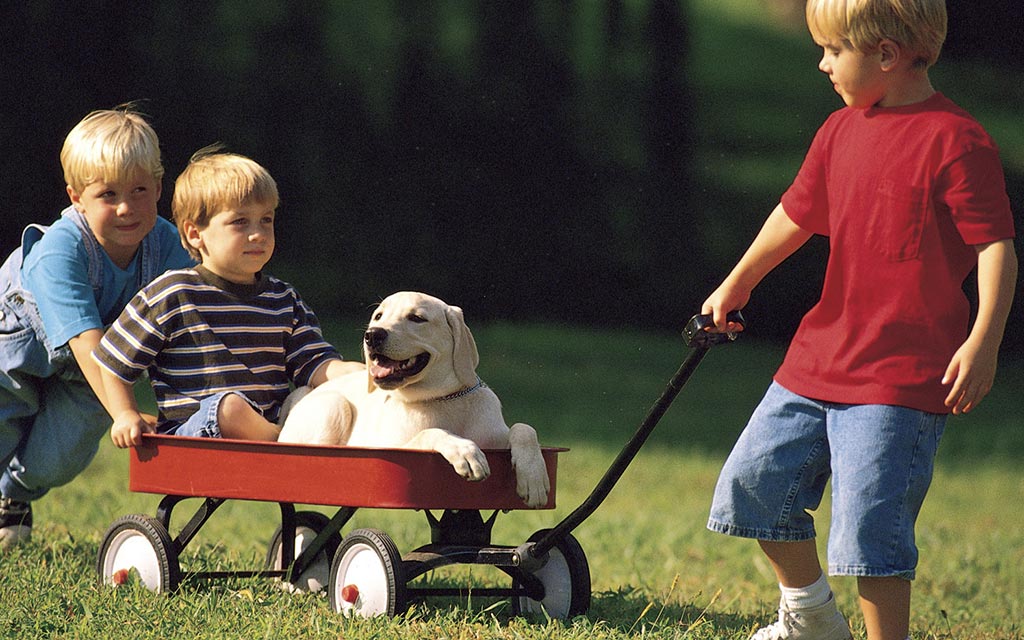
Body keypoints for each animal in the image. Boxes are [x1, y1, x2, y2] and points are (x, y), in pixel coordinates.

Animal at [278, 288, 552, 503]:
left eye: (417, 318)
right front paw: (464, 450)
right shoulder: (393, 447)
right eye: (378, 316)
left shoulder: (495, 437)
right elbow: (430, 432)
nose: (373, 334)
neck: (440, 399)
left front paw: (534, 477)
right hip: (333, 406)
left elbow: (524, 428)